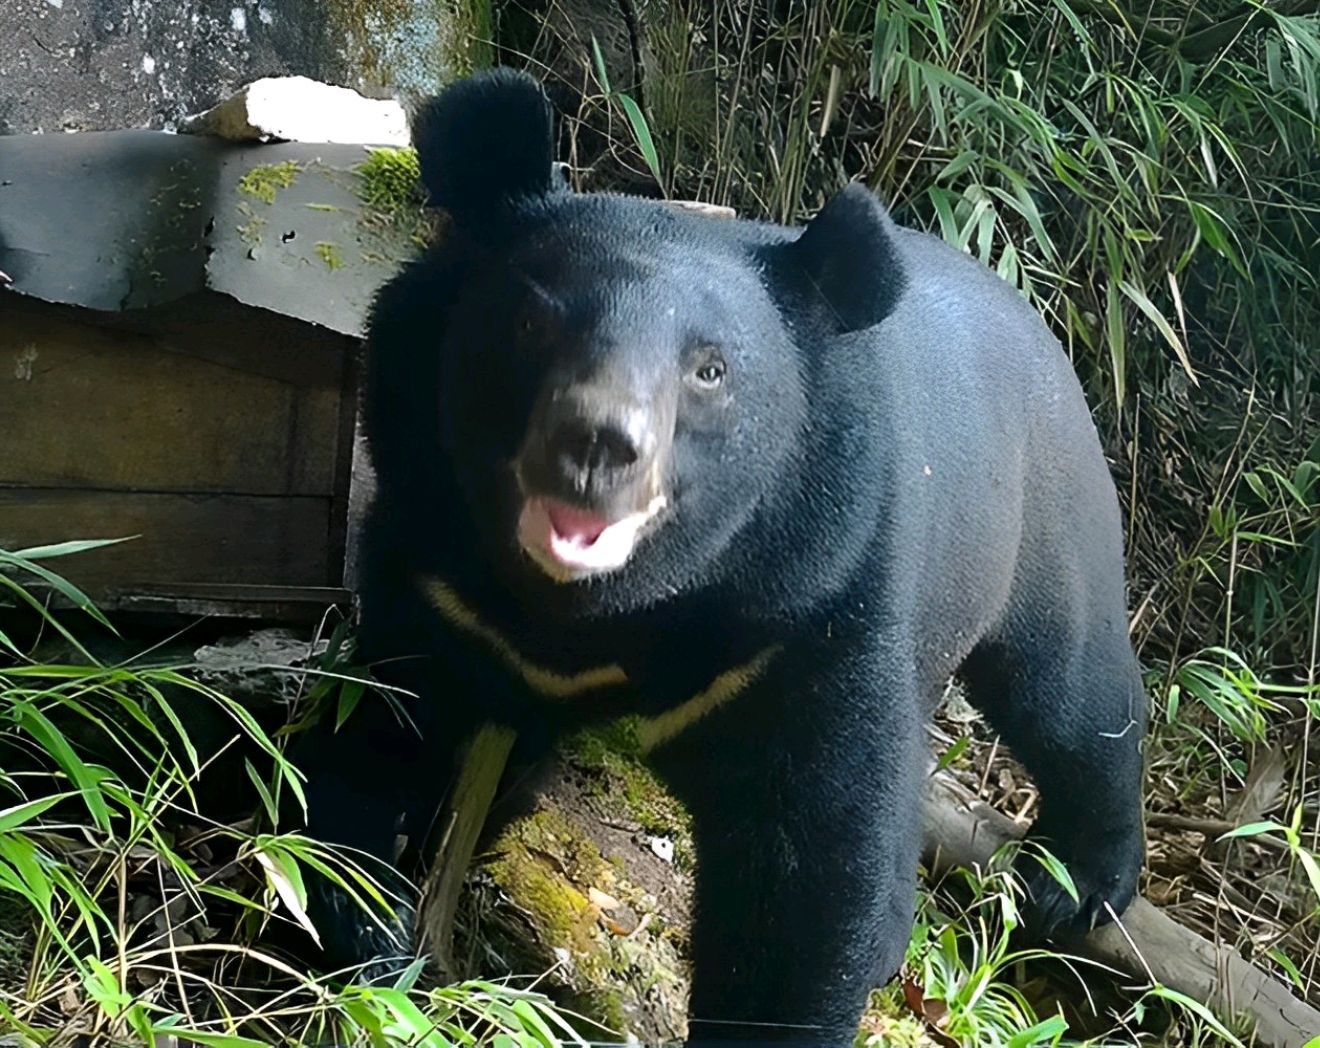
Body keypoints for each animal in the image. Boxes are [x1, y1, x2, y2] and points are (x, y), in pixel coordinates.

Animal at [299, 69, 1145, 1040]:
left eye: (710, 371)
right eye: (530, 323)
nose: (596, 444)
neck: (596, 614)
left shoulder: (812, 599)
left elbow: (805, 871)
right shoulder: (434, 568)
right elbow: (386, 714)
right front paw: (363, 917)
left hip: (1043, 516)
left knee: (1072, 692)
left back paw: (1074, 886)